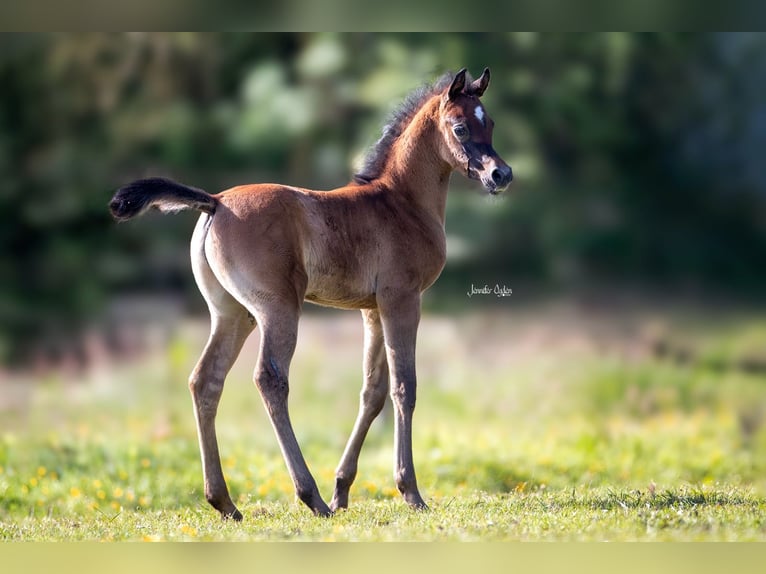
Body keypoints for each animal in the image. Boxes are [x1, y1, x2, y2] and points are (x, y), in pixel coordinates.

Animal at [109, 67, 516, 520]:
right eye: (460, 127)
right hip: (279, 310)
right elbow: (403, 387)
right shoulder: (402, 300)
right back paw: (310, 496)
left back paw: (226, 502)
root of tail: (214, 202)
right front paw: (410, 492)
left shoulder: (371, 309)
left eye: (490, 123)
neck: (401, 202)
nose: (501, 175)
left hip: (232, 314)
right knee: (269, 380)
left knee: (205, 380)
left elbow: (373, 392)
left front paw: (343, 490)